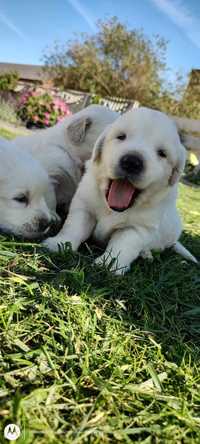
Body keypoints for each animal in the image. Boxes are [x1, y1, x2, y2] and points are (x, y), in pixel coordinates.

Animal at [43, 108, 197, 274]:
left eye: (162, 153)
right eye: (121, 137)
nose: (132, 162)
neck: (111, 207)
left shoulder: (137, 228)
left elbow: (122, 246)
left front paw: (109, 265)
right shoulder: (84, 208)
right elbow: (74, 227)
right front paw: (59, 243)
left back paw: (146, 254)